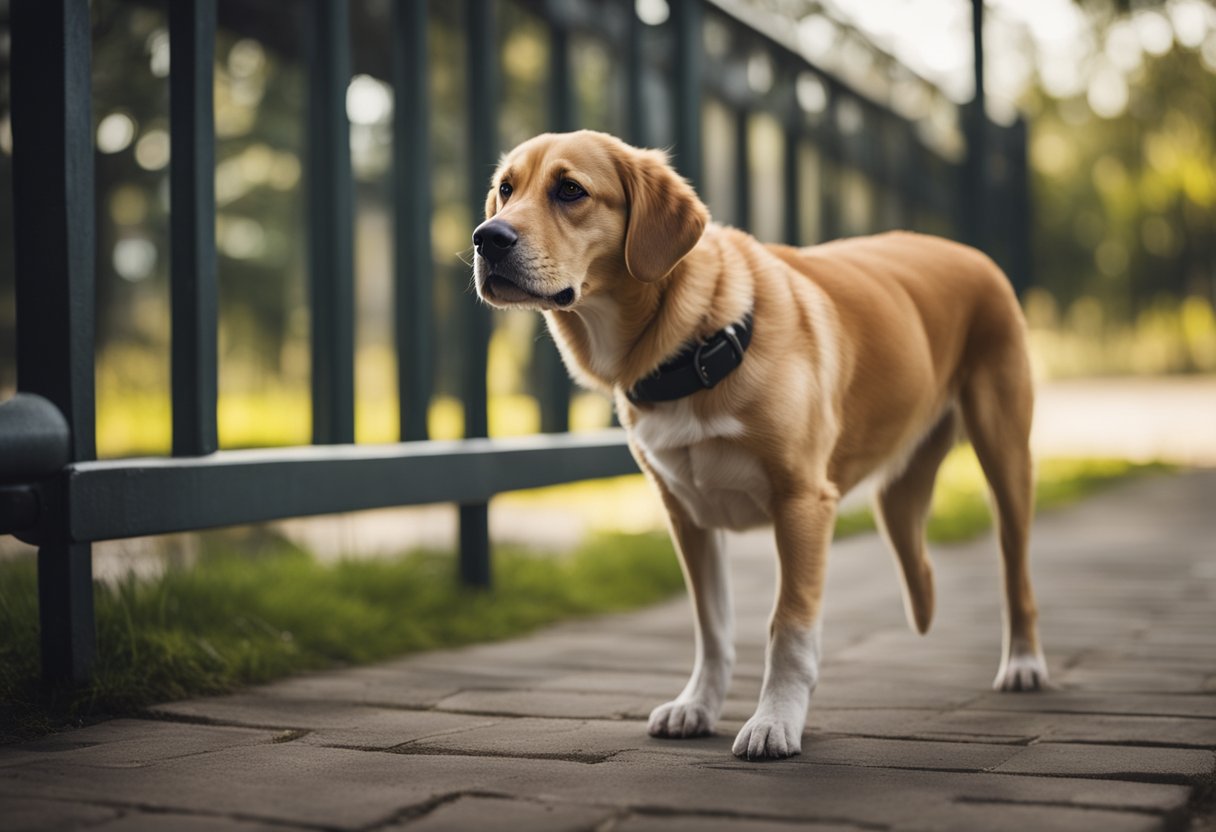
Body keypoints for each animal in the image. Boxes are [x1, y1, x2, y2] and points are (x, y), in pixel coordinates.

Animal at [469, 130, 1050, 759]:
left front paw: (776, 721)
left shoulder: (802, 505)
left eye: (571, 190)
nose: (487, 238)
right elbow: (712, 628)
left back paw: (1023, 664)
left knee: (1016, 574)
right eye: (506, 190)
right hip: (894, 496)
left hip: (1006, 461)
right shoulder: (688, 517)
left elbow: (787, 628)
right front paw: (698, 705)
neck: (696, 346)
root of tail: (970, 253)